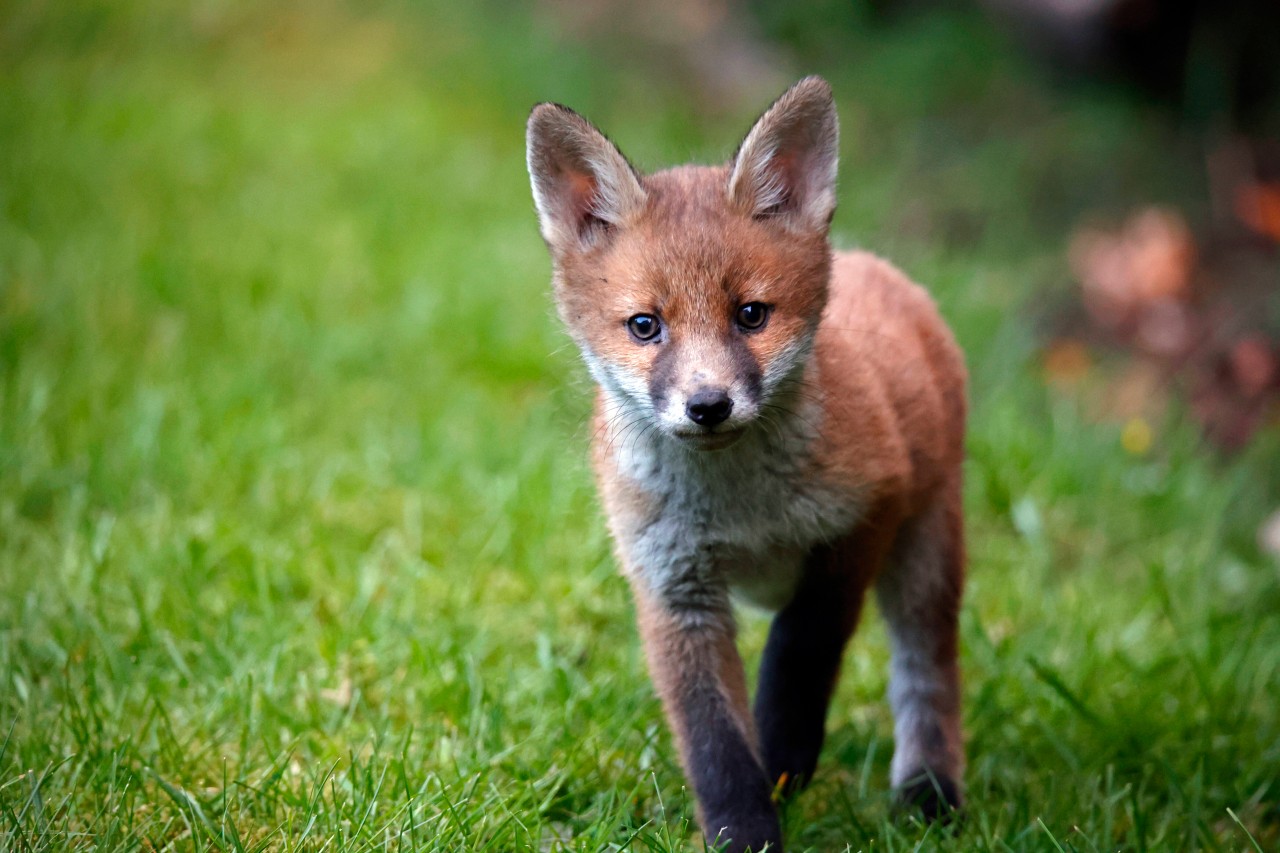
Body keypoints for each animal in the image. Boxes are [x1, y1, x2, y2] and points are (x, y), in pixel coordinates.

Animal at [524, 76, 962, 845]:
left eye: (751, 315)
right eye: (646, 326)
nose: (708, 405)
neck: (741, 514)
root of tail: (880, 267)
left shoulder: (865, 516)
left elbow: (799, 649)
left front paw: (785, 754)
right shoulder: (673, 585)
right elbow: (713, 739)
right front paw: (746, 831)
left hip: (925, 556)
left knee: (927, 673)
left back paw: (930, 790)